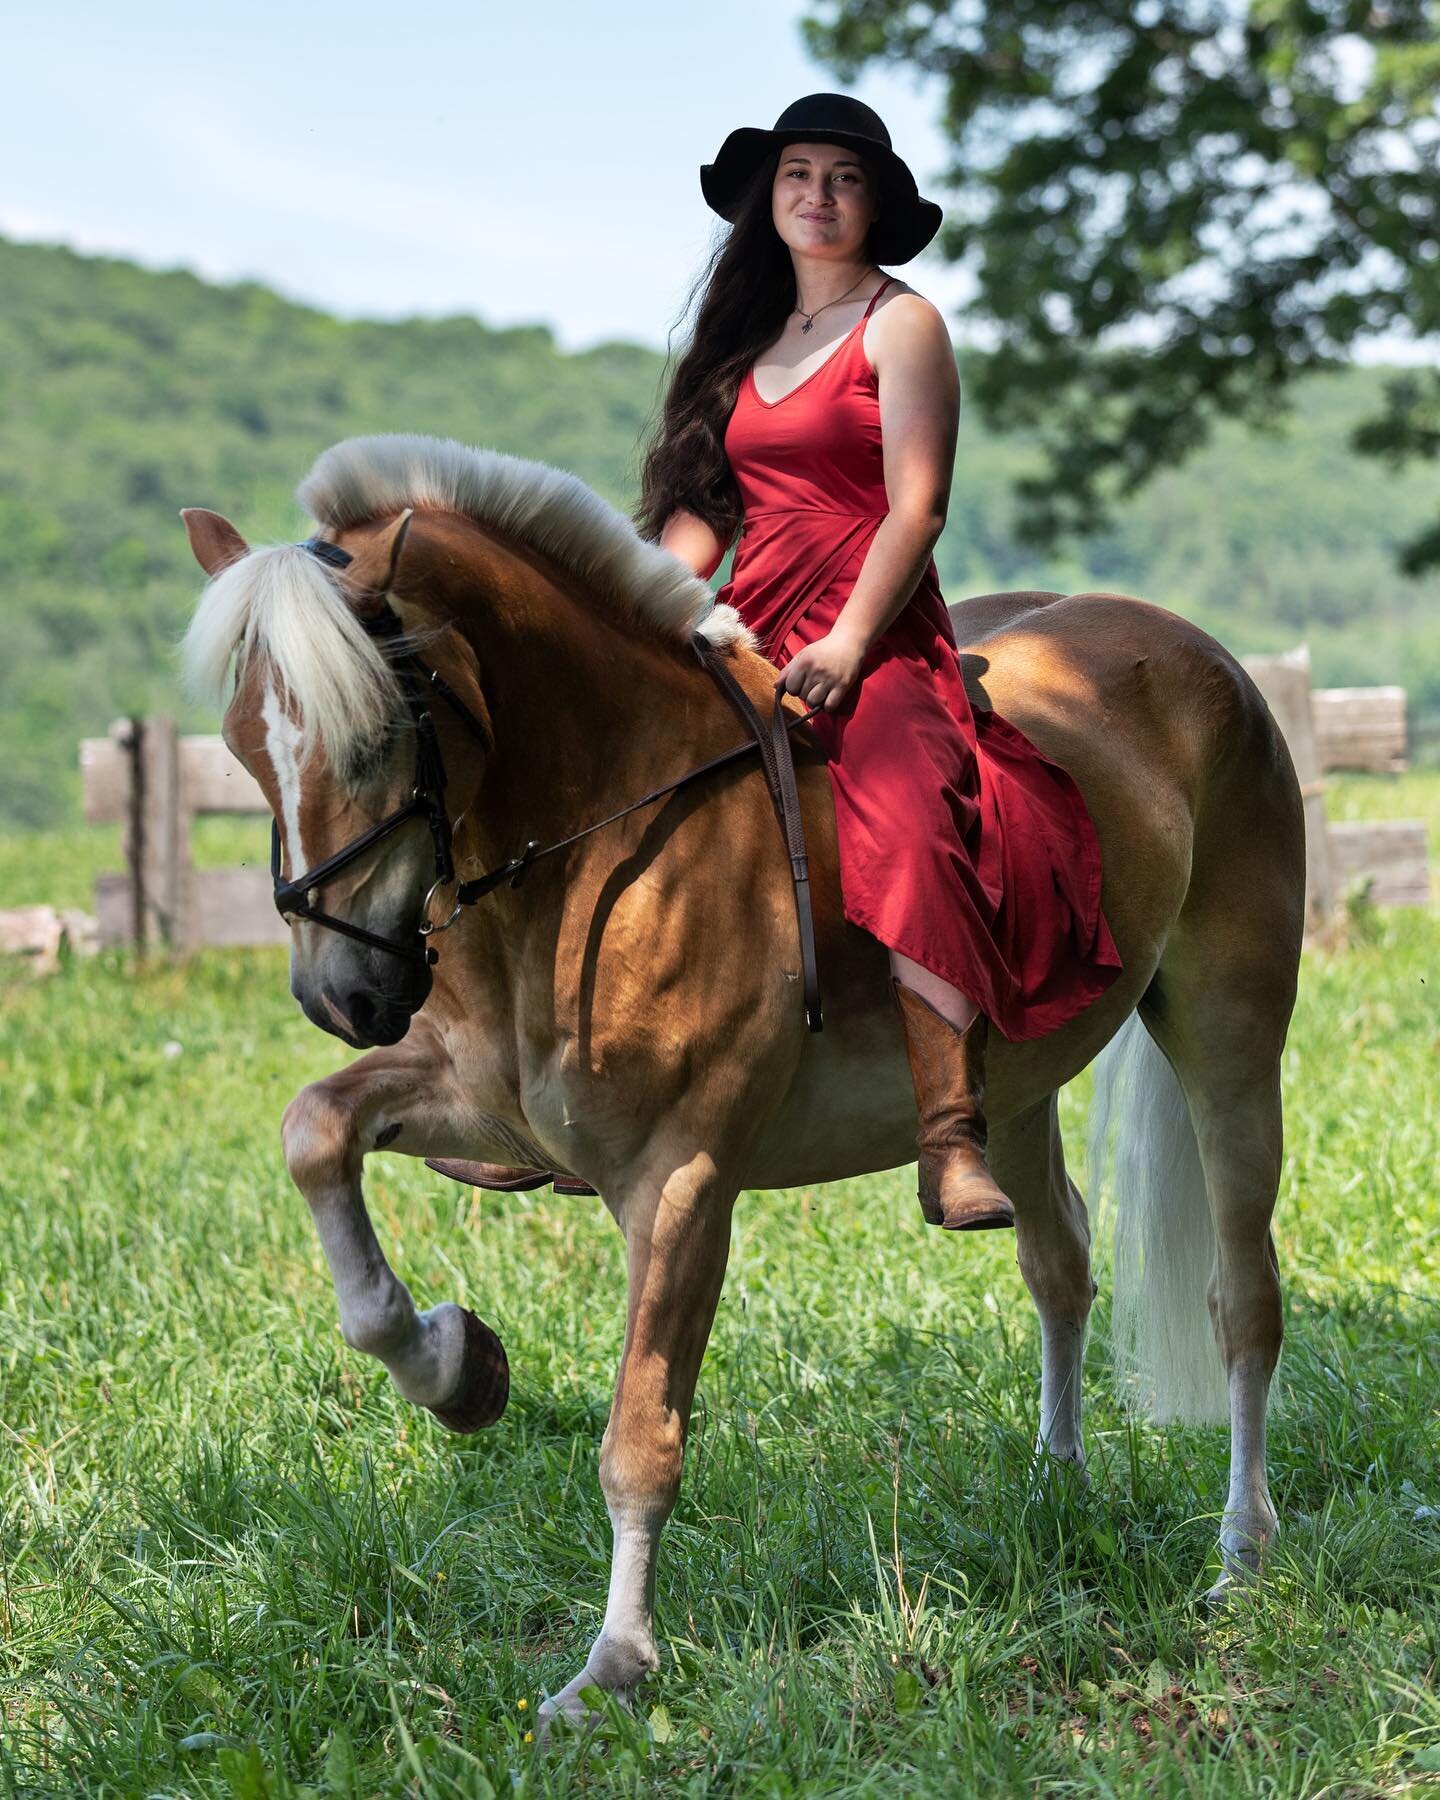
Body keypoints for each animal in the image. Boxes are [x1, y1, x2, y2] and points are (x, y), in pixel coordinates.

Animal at [180, 432, 1303, 1728]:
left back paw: (1241, 1556)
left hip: (1231, 1039)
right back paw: (1054, 1488)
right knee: (1058, 1261)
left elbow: (640, 1435)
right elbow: (315, 1132)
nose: (342, 997)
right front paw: (454, 1366)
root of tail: (1193, 650)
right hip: (1019, 1086)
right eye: (241, 748)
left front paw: (613, 1665)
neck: (604, 836)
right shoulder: (484, 1100)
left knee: (1242, 1301)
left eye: (373, 740)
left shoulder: (681, 1182)